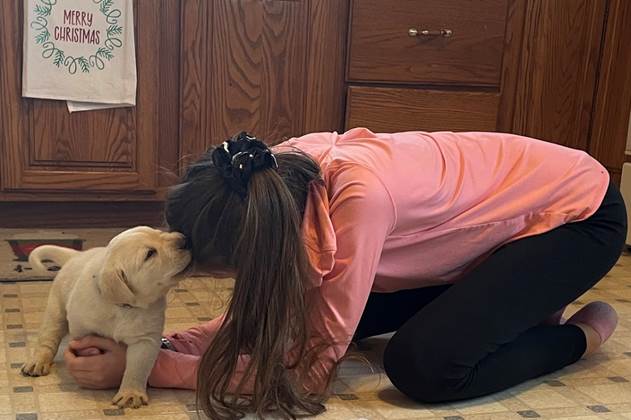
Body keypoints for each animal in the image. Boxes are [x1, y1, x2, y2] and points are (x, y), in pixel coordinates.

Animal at [21, 226, 190, 406]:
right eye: (150, 253)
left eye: (159, 232)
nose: (185, 239)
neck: (124, 308)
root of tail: (77, 255)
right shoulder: (83, 332)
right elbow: (88, 350)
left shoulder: (146, 340)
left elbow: (138, 367)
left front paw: (131, 393)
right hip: (56, 309)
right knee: (48, 338)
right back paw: (38, 362)